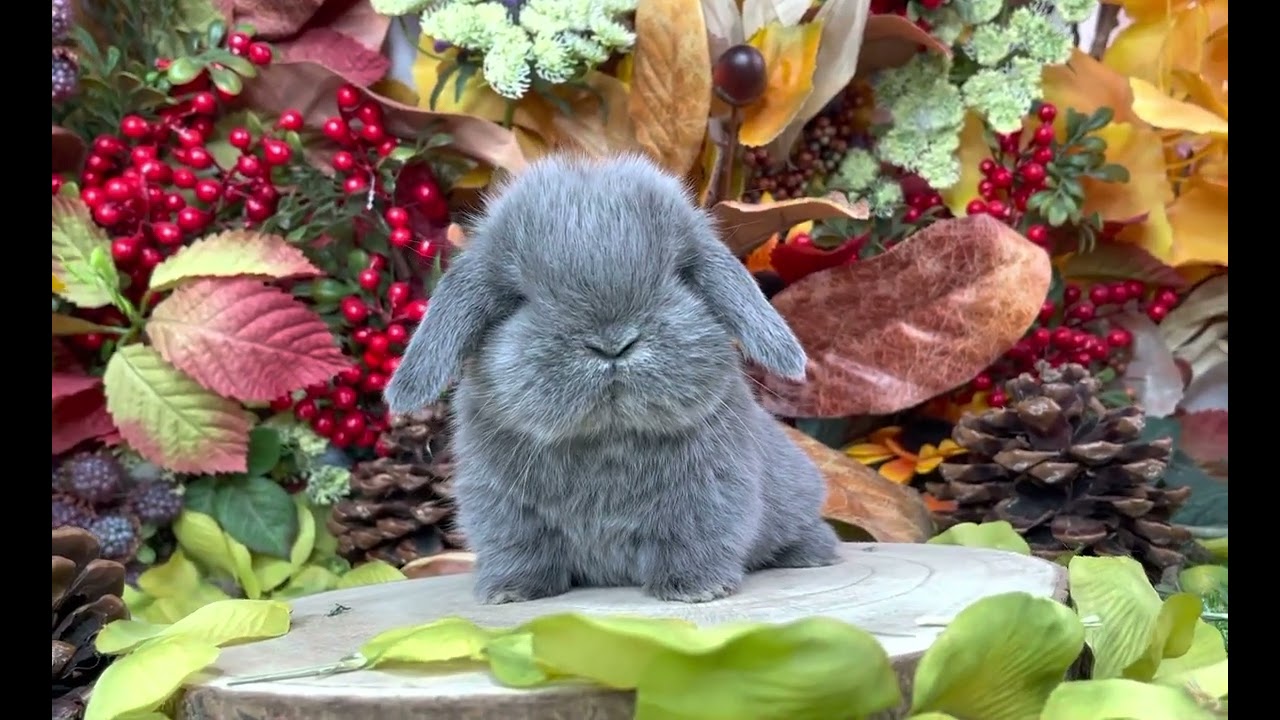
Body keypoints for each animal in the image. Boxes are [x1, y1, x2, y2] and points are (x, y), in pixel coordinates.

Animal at [384, 153, 839, 605]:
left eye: (679, 276)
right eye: (518, 297)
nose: (613, 343)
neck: (605, 438)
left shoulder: (710, 496)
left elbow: (697, 540)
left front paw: (696, 589)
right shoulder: (501, 509)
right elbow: (518, 549)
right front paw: (509, 592)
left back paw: (816, 552)